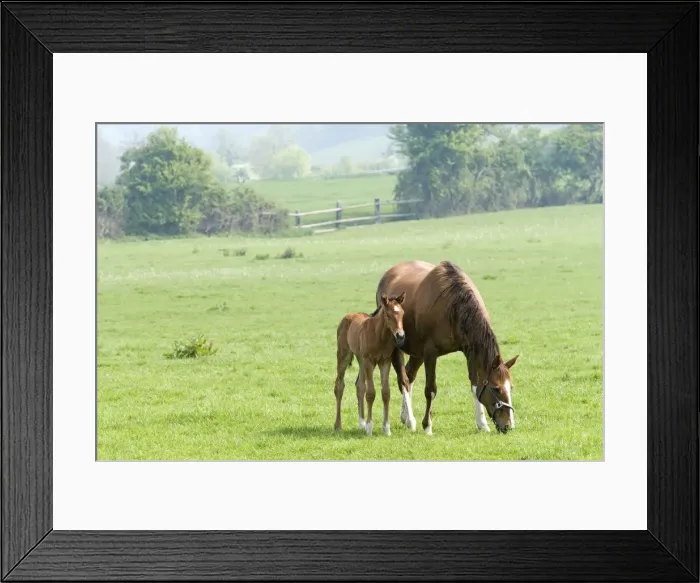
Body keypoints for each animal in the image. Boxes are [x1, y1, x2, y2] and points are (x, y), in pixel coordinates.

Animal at [333, 292, 406, 436]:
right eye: (388, 315)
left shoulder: (385, 362)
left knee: (359, 385)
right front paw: (369, 427)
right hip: (344, 355)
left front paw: (386, 428)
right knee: (339, 385)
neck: (379, 336)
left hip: (361, 359)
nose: (400, 335)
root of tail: (348, 316)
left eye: (402, 313)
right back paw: (338, 425)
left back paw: (361, 423)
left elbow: (386, 392)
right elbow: (371, 393)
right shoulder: (369, 361)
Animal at [371, 260, 519, 435]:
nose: (509, 425)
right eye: (496, 388)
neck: (452, 307)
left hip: (417, 353)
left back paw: (405, 417)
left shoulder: (470, 351)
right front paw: (427, 426)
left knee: (409, 375)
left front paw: (482, 423)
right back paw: (412, 420)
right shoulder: (430, 353)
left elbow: (475, 385)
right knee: (404, 380)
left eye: (510, 387)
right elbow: (430, 390)